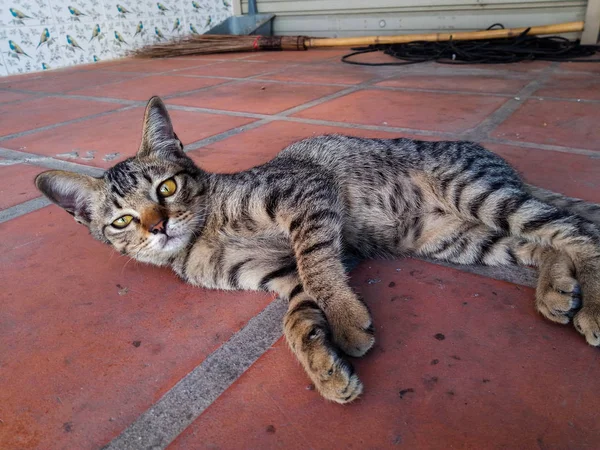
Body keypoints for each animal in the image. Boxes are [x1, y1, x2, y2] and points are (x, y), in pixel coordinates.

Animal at [35, 96, 600, 404]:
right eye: (122, 221)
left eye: (167, 188)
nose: (160, 227)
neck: (204, 236)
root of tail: (502, 164)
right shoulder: (277, 274)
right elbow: (298, 315)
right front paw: (325, 367)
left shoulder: (305, 193)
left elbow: (318, 265)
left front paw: (346, 321)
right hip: (458, 237)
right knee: (541, 242)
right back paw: (556, 290)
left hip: (476, 193)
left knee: (576, 230)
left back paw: (590, 304)